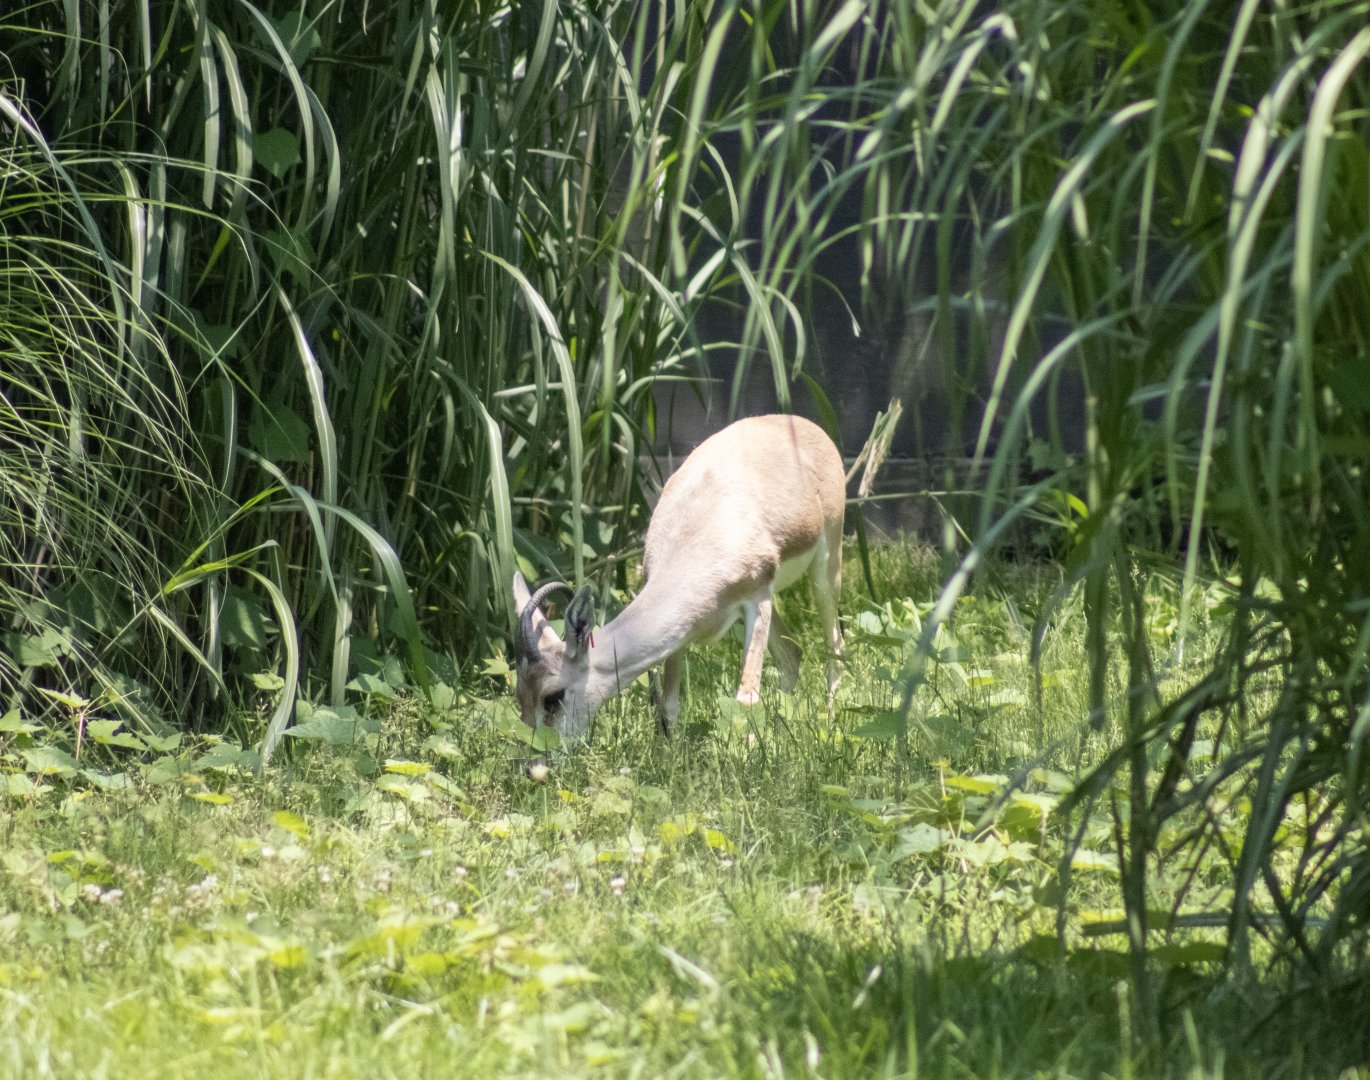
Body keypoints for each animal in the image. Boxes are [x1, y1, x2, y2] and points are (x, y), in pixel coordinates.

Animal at [512, 414, 845, 739]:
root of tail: (799, 422)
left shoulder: (757, 599)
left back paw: (829, 725)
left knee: (835, 644)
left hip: (825, 569)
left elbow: (746, 698)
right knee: (792, 654)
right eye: (520, 695)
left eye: (553, 696)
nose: (536, 754)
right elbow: (669, 704)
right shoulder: (684, 629)